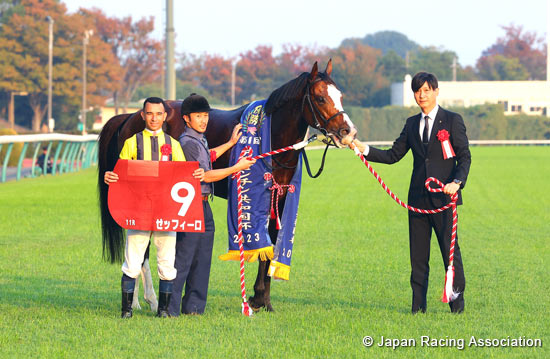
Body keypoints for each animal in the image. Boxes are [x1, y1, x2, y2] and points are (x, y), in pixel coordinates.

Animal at [98, 59, 358, 312]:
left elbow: (271, 245)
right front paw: (258, 298)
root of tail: (131, 117)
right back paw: (145, 300)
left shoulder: (280, 197)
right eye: (321, 97)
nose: (348, 131)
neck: (272, 139)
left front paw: (262, 300)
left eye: (340, 95)